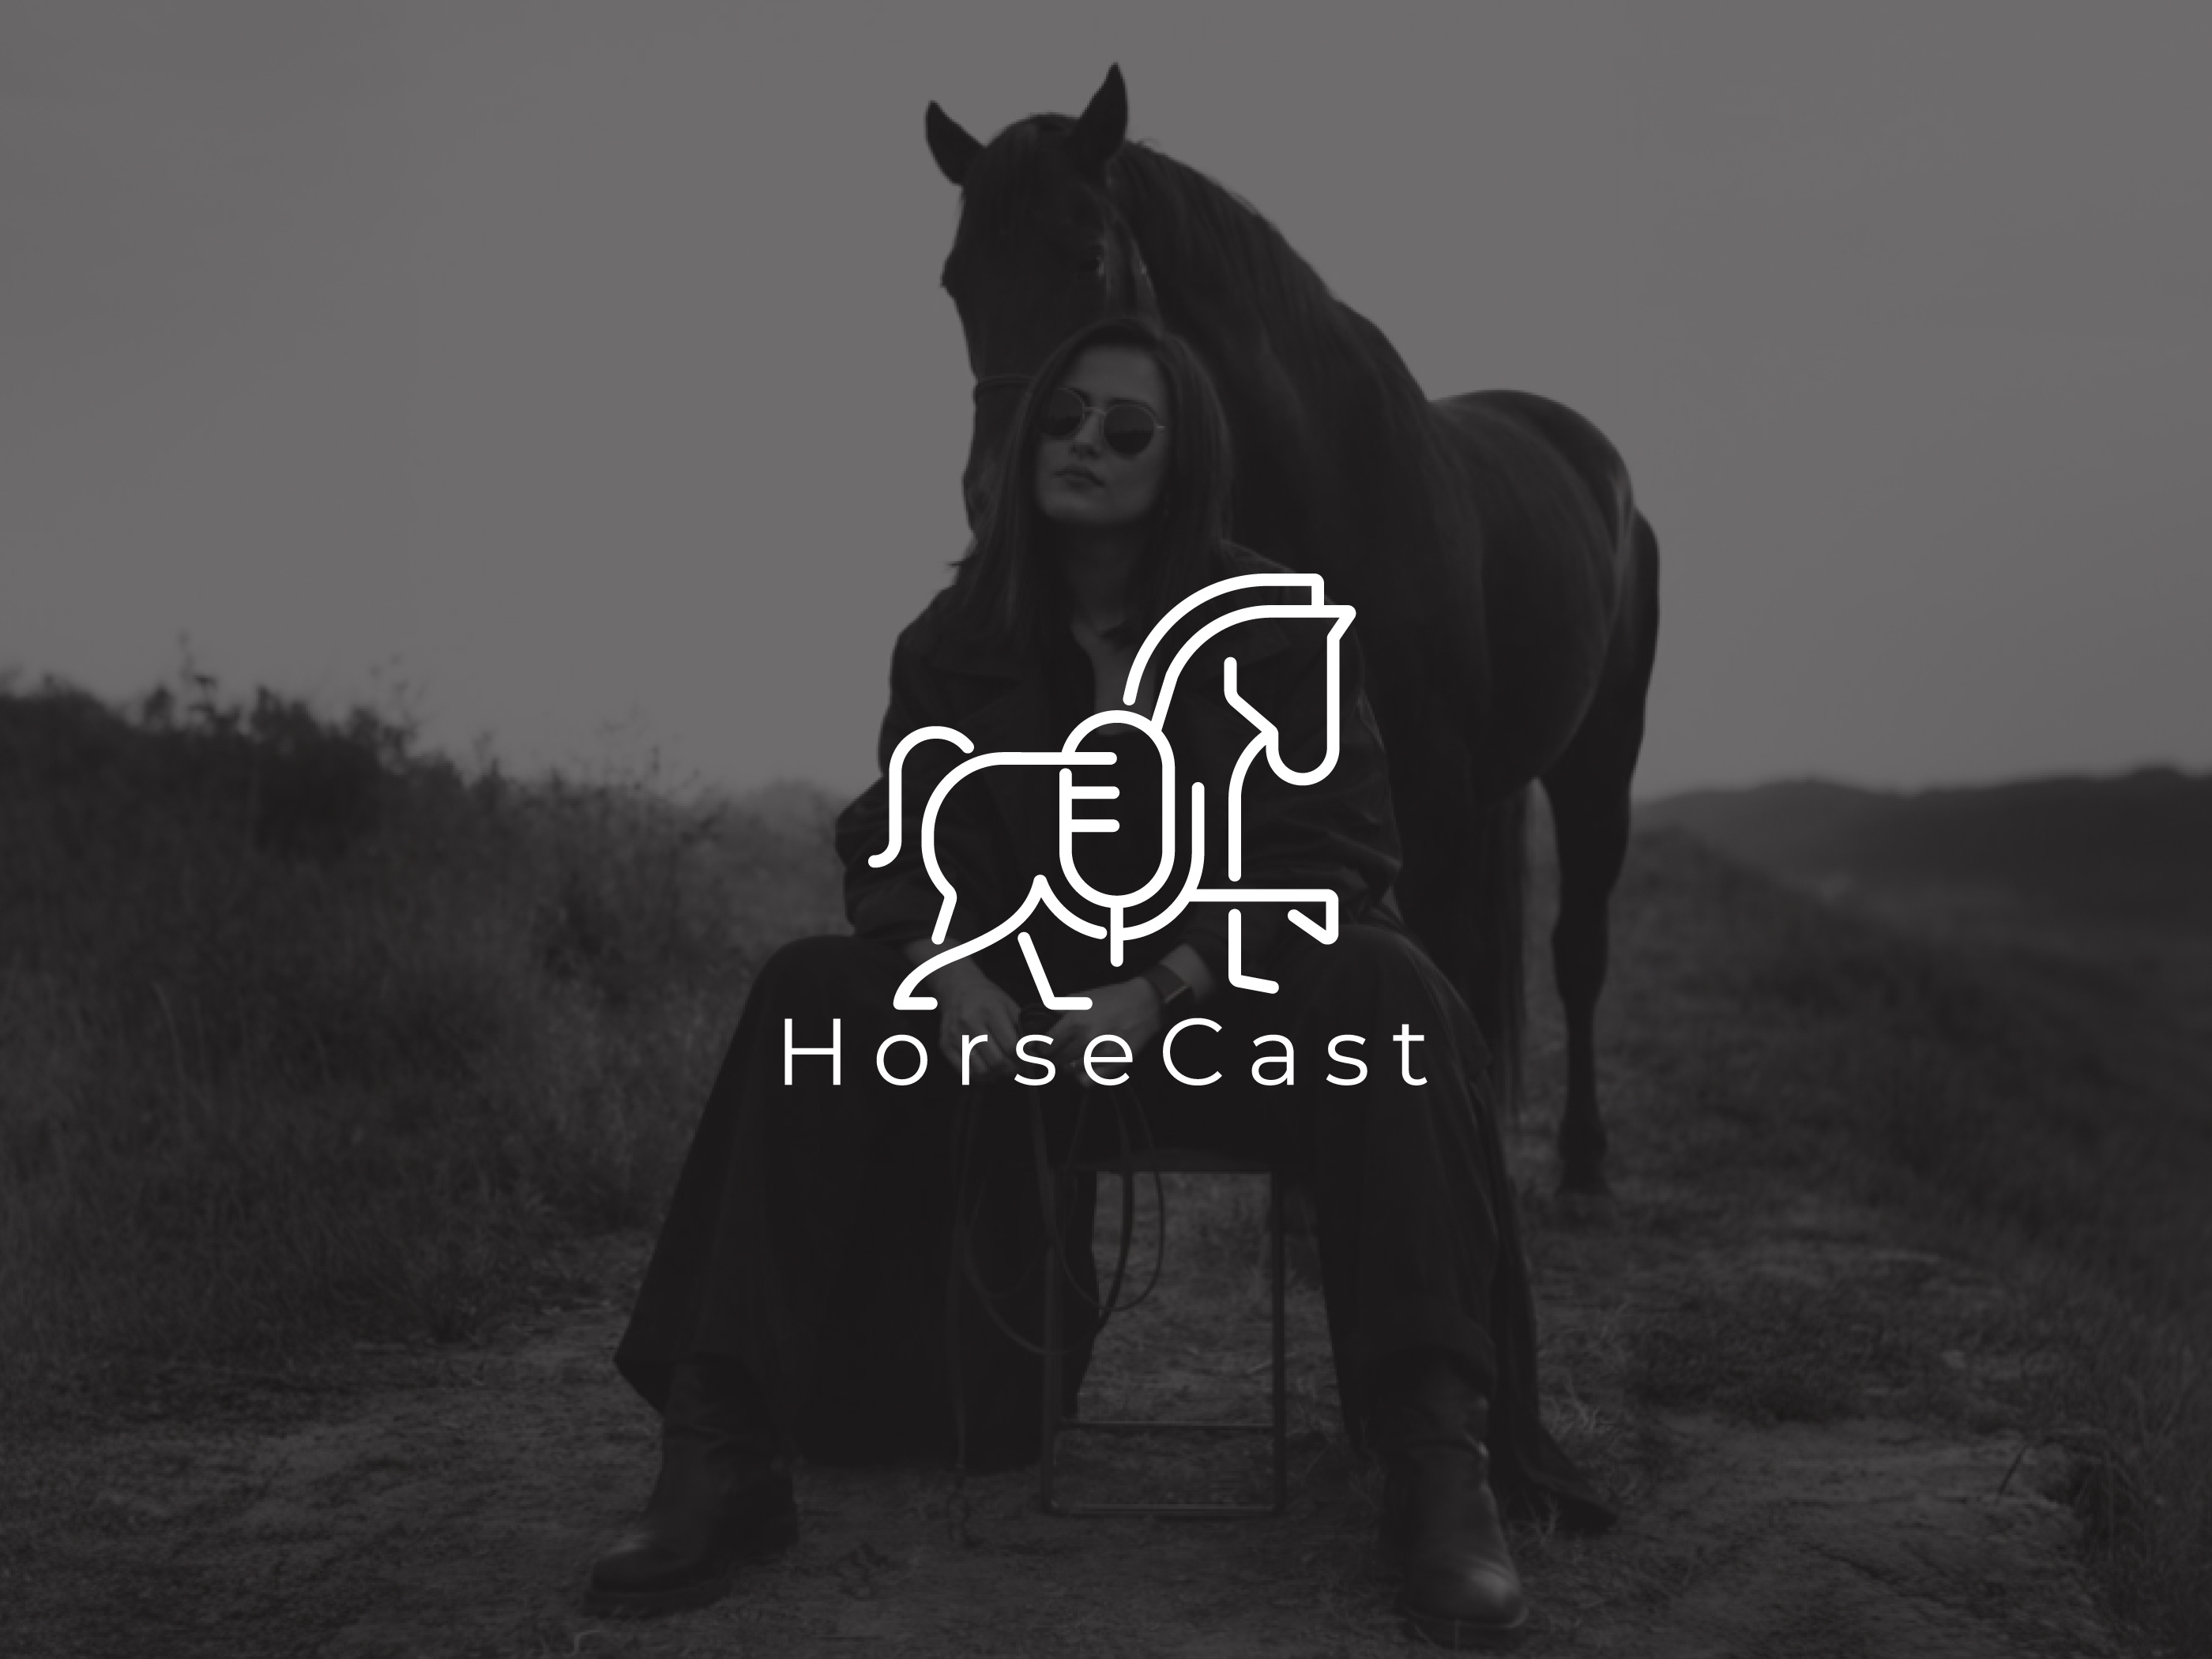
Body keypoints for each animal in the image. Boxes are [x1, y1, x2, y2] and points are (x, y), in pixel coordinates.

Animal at [923, 66, 1661, 1195]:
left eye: (1085, 256)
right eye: (958, 282)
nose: (994, 491)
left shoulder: (1427, 812)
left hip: (1596, 764)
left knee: (1576, 951)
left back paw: (1581, 1158)